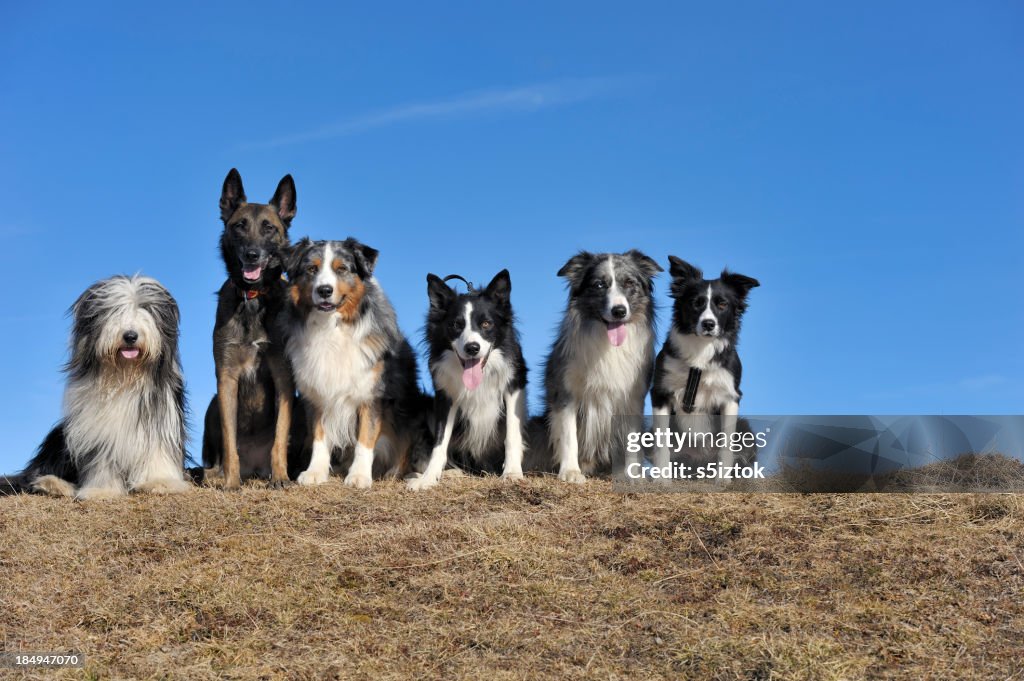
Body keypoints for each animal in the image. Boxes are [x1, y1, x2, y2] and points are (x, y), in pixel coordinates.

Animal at [10, 272, 190, 499]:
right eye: (115, 310)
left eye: (145, 308)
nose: (130, 335)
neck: (124, 378)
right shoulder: (97, 427)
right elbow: (102, 459)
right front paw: (101, 490)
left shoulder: (161, 420)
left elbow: (158, 450)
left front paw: (160, 481)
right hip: (59, 437)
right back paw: (53, 484)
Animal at [199, 168, 303, 489]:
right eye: (240, 226)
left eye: (268, 228)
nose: (252, 255)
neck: (253, 299)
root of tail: (254, 468)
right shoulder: (226, 377)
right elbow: (229, 439)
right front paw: (230, 481)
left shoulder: (284, 377)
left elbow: (280, 437)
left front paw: (281, 477)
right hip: (212, 403)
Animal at [409, 266, 532, 489]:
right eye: (456, 325)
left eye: (486, 323)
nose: (472, 348)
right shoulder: (444, 395)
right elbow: (440, 441)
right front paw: (428, 478)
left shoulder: (514, 384)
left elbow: (512, 433)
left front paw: (511, 473)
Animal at [532, 250, 667, 483]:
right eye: (599, 285)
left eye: (629, 283)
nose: (619, 311)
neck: (608, 345)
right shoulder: (566, 392)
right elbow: (569, 436)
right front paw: (571, 472)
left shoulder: (633, 398)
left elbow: (631, 439)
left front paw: (632, 475)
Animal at [651, 254, 757, 466]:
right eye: (696, 303)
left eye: (722, 304)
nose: (709, 324)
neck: (701, 349)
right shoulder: (660, 392)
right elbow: (662, 445)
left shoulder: (731, 397)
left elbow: (726, 447)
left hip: (746, 430)